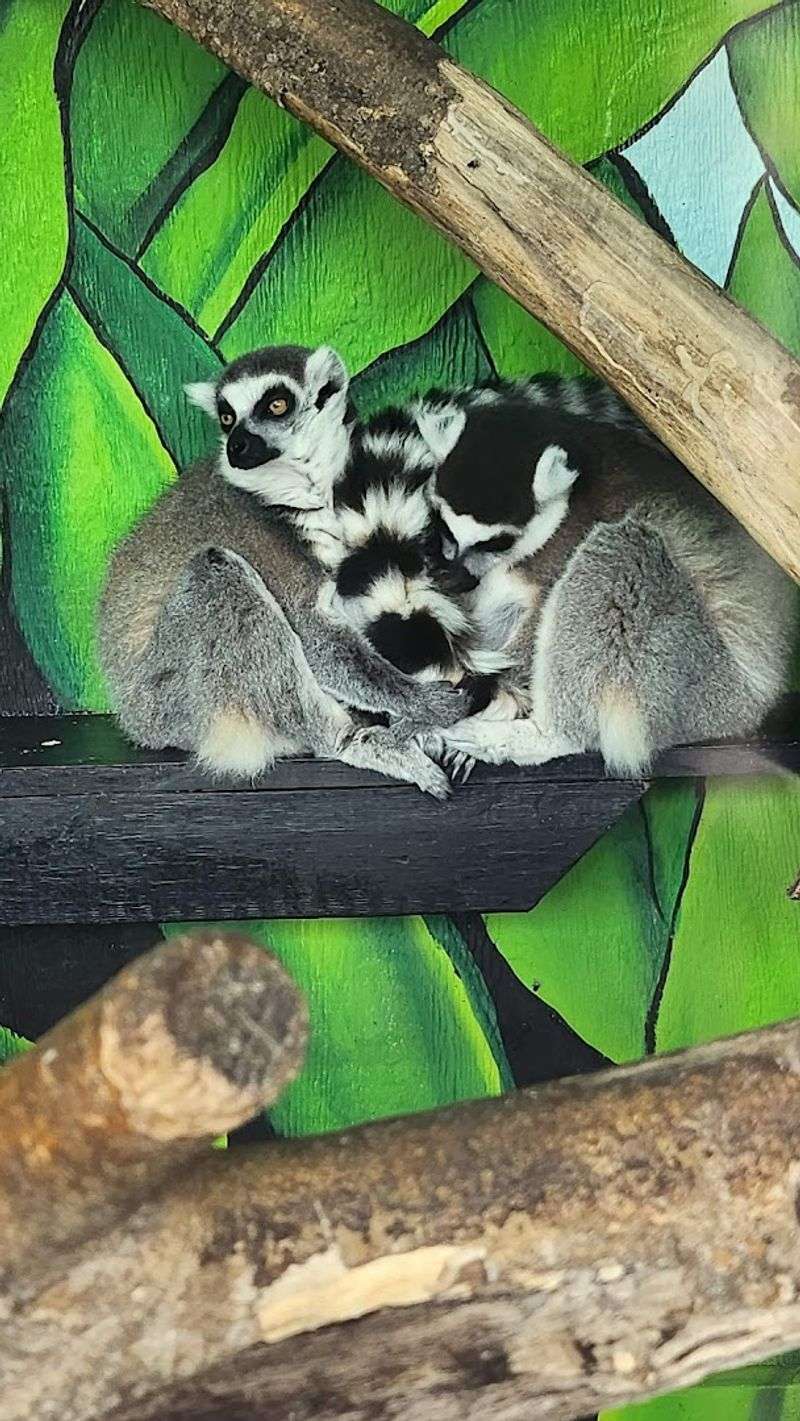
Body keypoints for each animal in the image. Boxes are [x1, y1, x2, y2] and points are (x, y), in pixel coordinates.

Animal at [98, 345, 472, 796]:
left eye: (276, 404)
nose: (237, 445)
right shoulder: (259, 534)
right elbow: (315, 635)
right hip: (174, 698)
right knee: (217, 574)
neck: (307, 490)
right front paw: (421, 704)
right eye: (227, 417)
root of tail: (133, 718)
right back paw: (348, 741)